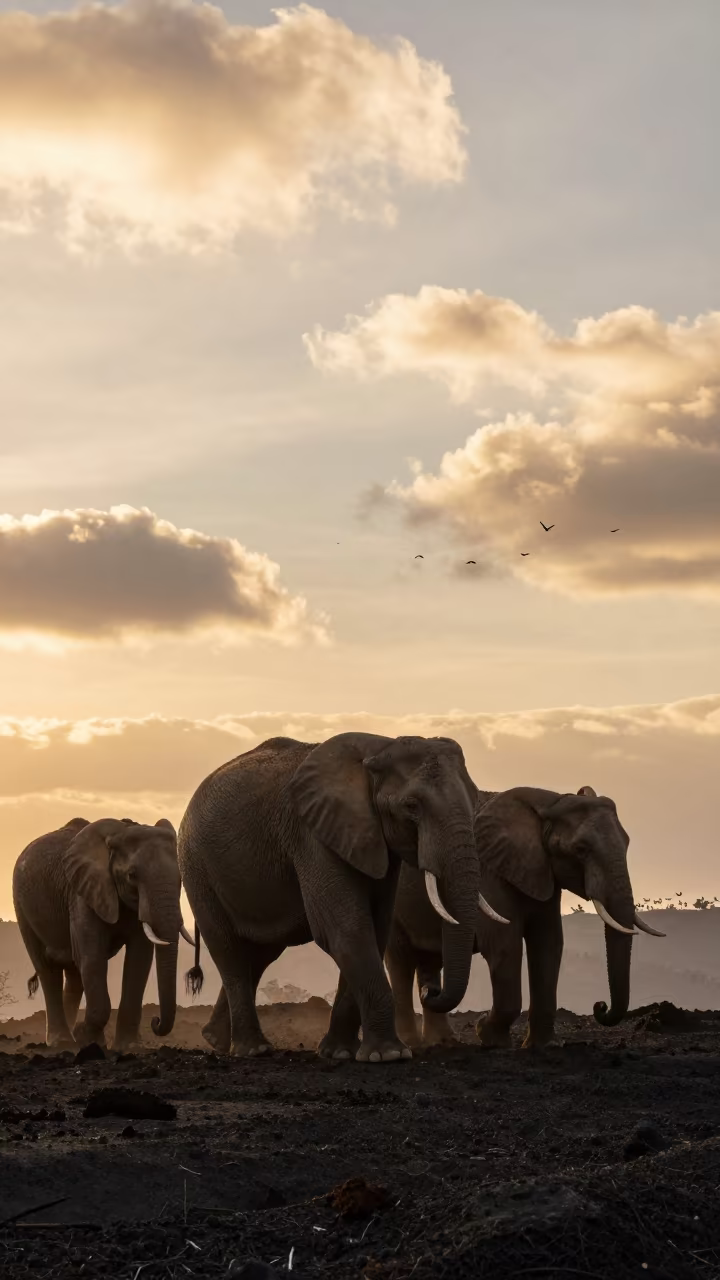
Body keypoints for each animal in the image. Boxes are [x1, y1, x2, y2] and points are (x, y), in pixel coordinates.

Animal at [12, 815, 193, 1051]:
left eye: (181, 880)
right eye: (132, 875)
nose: (156, 1021)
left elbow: (139, 960)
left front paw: (126, 1047)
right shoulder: (82, 893)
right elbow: (93, 957)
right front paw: (87, 1039)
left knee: (74, 974)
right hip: (22, 906)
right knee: (47, 969)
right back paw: (62, 1042)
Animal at [178, 732, 506, 1063]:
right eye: (411, 805)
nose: (430, 991)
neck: (379, 747)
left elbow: (374, 929)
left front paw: (338, 1052)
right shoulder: (312, 836)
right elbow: (346, 929)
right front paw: (389, 1055)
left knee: (260, 953)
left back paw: (216, 1040)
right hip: (197, 869)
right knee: (229, 949)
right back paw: (252, 1049)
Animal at [386, 784, 664, 1050]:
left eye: (627, 844)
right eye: (580, 849)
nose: (600, 1006)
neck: (549, 803)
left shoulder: (543, 871)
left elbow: (549, 942)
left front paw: (542, 1045)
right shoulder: (490, 871)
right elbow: (503, 943)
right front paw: (489, 1037)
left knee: (430, 957)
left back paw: (442, 1039)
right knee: (400, 962)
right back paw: (412, 1040)